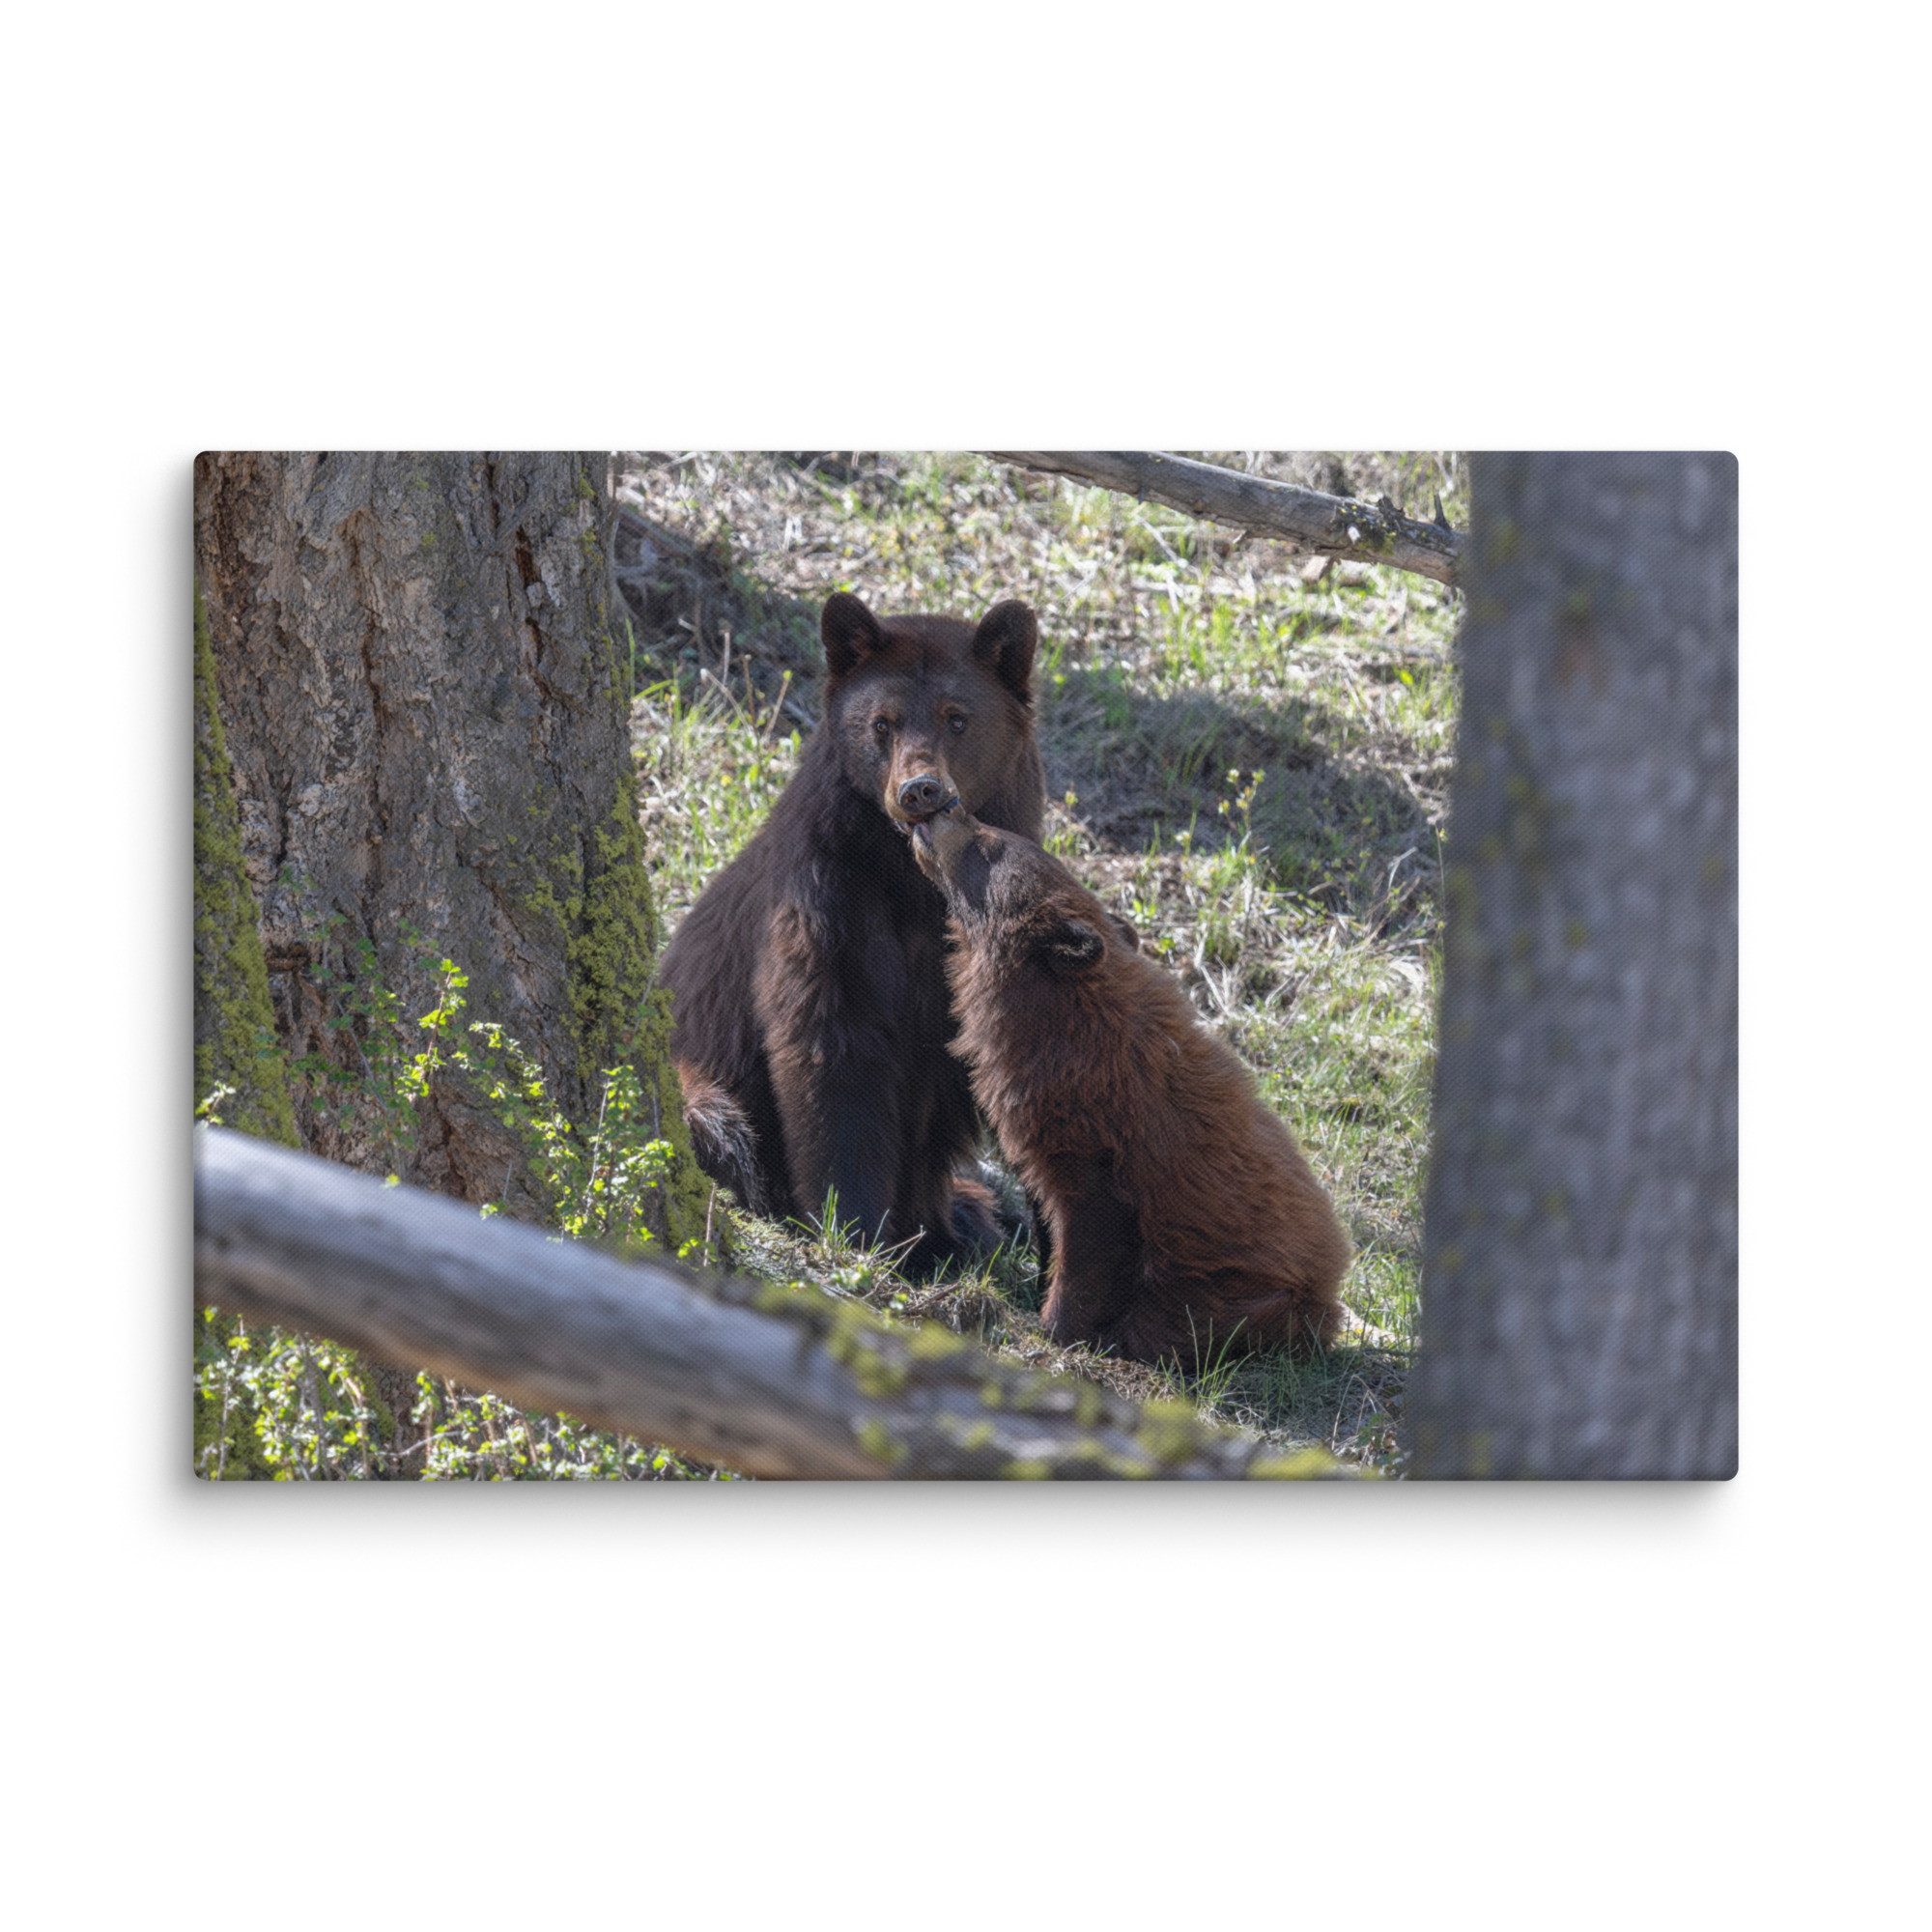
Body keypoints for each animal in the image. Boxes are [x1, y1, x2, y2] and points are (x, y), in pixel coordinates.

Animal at [661, 590, 1046, 1269]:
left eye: (957, 719)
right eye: (882, 723)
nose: (920, 790)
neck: (913, 882)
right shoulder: (826, 899)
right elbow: (833, 1049)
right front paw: (857, 1229)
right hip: (696, 1079)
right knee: (719, 1124)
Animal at [910, 799, 1351, 1367]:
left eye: (989, 844)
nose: (948, 806)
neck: (1060, 1020)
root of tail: (1330, 1293)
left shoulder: (1099, 1137)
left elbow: (1090, 1235)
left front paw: (1055, 1326)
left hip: (1244, 1295)